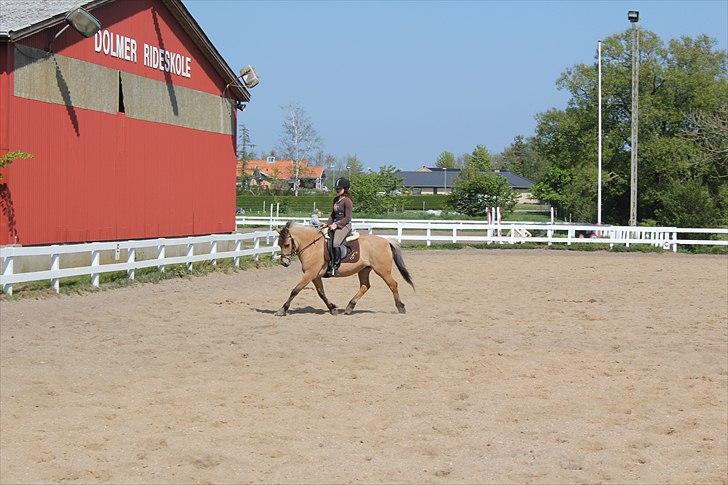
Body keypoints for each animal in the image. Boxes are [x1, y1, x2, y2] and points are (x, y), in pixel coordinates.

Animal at [272, 220, 412, 318]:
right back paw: (349, 307)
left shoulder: (309, 274)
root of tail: (386, 241)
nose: (284, 263)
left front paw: (282, 310)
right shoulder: (315, 276)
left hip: (382, 270)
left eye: (287, 244)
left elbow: (295, 290)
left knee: (392, 284)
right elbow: (321, 293)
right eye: (279, 244)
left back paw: (401, 307)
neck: (312, 246)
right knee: (365, 286)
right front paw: (332, 308)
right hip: (364, 270)